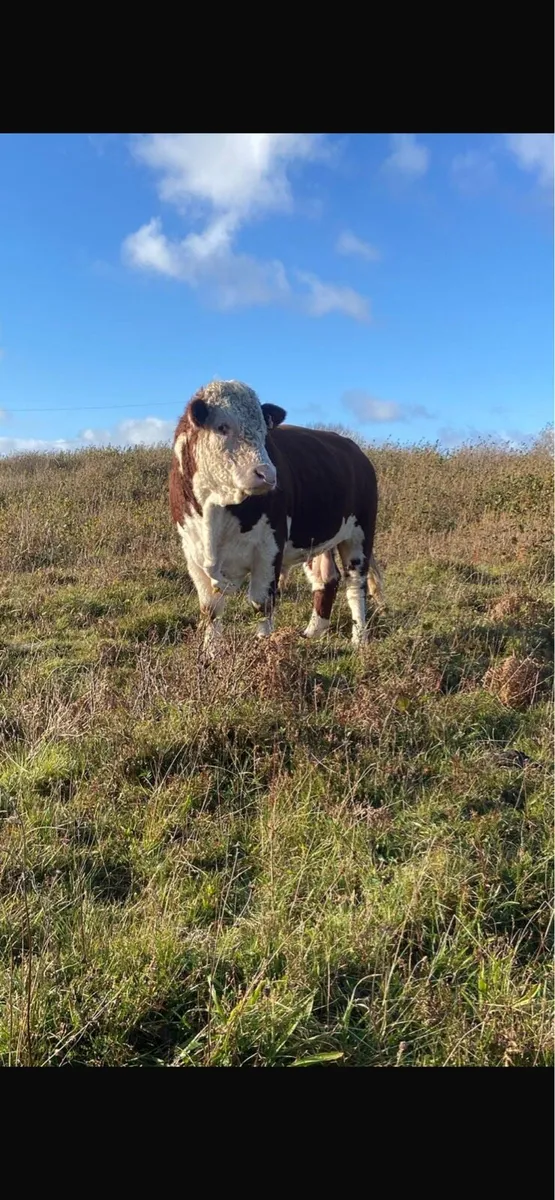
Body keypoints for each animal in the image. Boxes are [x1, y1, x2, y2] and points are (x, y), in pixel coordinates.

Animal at [169, 380, 383, 651]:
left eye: (264, 432)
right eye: (222, 427)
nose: (268, 474)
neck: (214, 512)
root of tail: (355, 451)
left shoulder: (269, 548)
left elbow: (262, 604)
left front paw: (264, 647)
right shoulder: (192, 552)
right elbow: (210, 609)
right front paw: (209, 652)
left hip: (360, 533)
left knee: (356, 583)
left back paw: (359, 639)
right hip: (317, 537)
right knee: (326, 579)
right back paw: (312, 632)